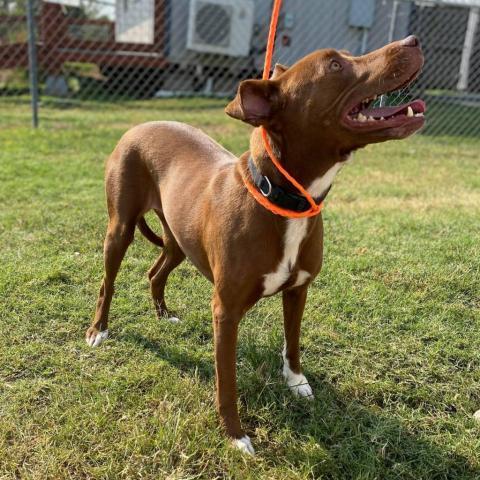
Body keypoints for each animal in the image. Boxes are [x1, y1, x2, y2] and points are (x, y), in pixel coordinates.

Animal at [86, 36, 425, 455]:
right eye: (334, 65)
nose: (413, 40)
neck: (282, 197)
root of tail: (140, 125)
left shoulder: (298, 290)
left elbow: (292, 343)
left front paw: (296, 382)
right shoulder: (226, 312)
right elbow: (226, 383)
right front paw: (235, 434)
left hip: (180, 240)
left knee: (155, 272)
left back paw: (163, 314)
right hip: (120, 230)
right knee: (108, 283)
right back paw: (98, 330)